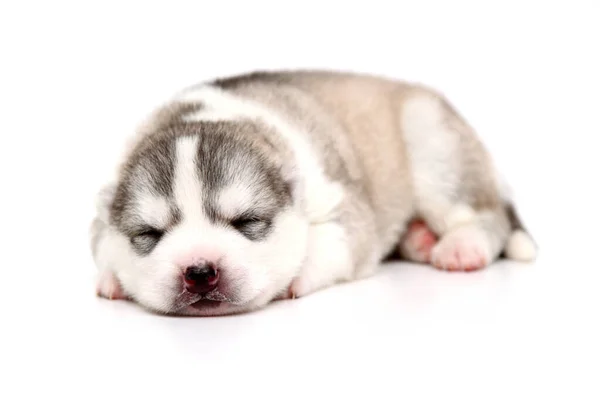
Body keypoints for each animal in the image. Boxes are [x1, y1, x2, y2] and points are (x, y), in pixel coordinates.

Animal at [90, 70, 540, 318]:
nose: (199, 271)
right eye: (150, 234)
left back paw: (462, 246)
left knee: (488, 215)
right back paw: (419, 238)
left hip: (434, 148)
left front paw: (297, 273)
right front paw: (112, 276)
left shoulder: (346, 209)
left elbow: (331, 242)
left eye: (247, 222)